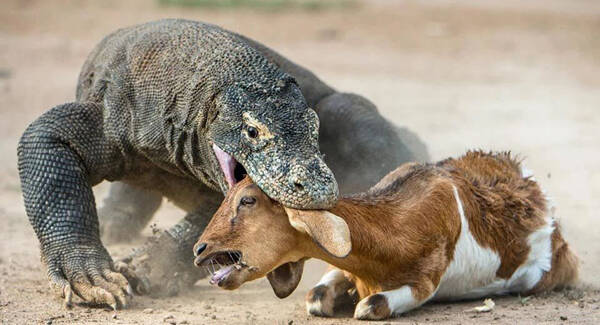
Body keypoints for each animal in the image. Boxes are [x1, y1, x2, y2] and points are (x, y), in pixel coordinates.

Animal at [195, 151, 580, 318]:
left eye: (248, 200)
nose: (200, 249)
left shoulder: (424, 281)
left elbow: (371, 306)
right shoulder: (345, 267)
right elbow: (316, 296)